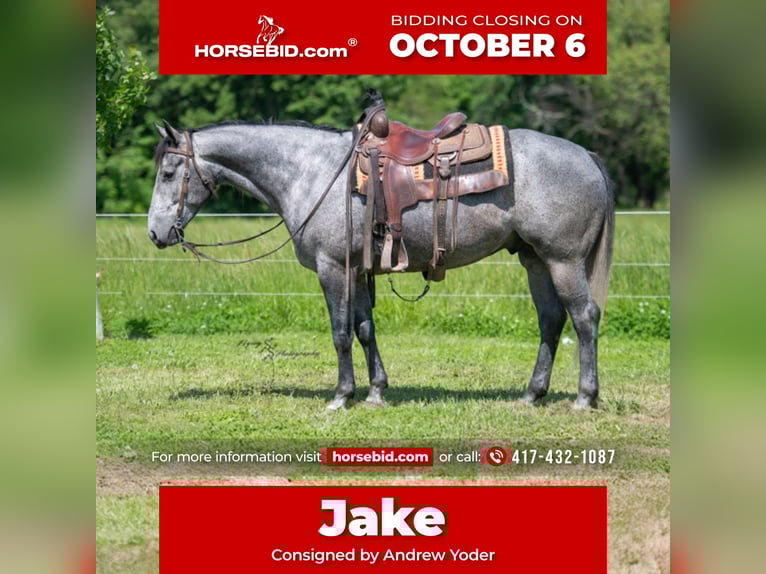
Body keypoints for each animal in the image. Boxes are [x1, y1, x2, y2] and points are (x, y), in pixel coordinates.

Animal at [147, 114, 614, 411]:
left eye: (169, 173)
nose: (155, 233)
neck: (311, 172)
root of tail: (588, 156)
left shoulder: (333, 268)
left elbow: (340, 333)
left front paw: (341, 395)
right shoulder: (357, 271)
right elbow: (364, 329)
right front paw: (375, 391)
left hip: (563, 260)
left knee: (584, 318)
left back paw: (584, 397)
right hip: (536, 260)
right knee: (551, 320)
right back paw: (532, 394)